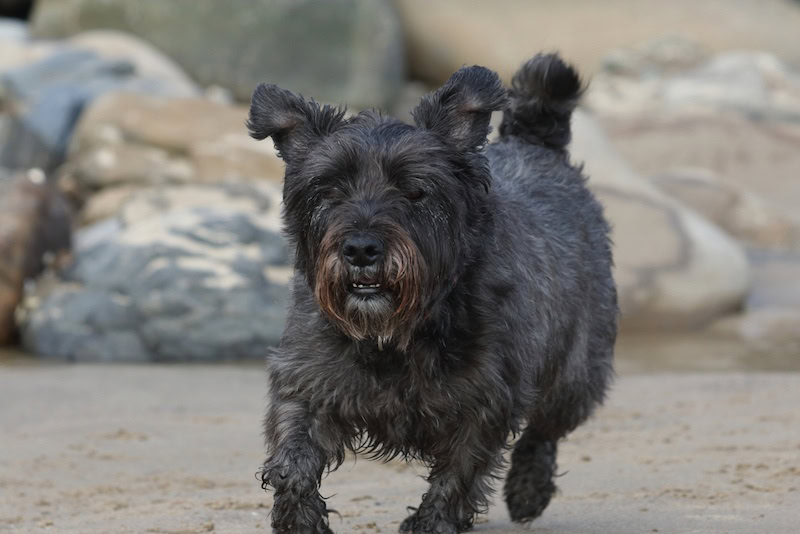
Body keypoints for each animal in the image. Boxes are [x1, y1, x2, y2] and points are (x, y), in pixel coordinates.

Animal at [248, 52, 620, 532]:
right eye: (328, 189)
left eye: (414, 190)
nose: (361, 249)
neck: (395, 333)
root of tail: (537, 145)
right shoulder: (308, 381)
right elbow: (291, 461)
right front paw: (300, 519)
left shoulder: (484, 403)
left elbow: (458, 475)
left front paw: (432, 523)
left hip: (574, 375)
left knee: (544, 430)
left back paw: (528, 490)